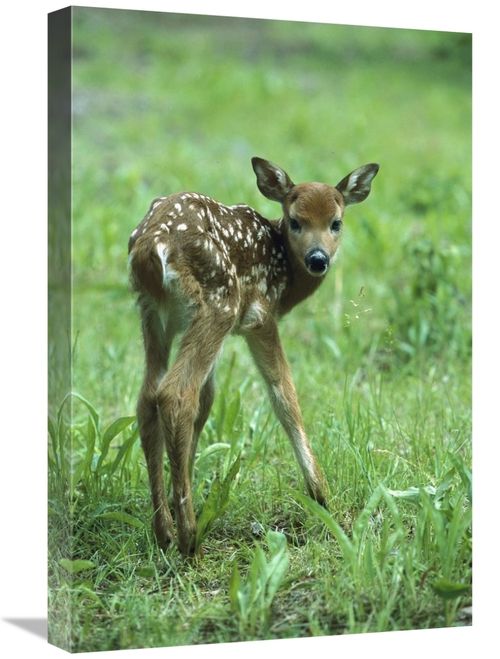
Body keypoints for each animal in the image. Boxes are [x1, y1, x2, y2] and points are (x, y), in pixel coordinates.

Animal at [128, 157, 379, 556]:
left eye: (336, 222)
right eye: (295, 221)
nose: (318, 259)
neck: (285, 274)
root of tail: (151, 247)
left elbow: (208, 403)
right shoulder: (259, 317)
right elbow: (285, 396)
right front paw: (321, 496)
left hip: (154, 313)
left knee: (148, 397)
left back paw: (164, 530)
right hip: (220, 302)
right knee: (176, 394)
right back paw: (189, 538)